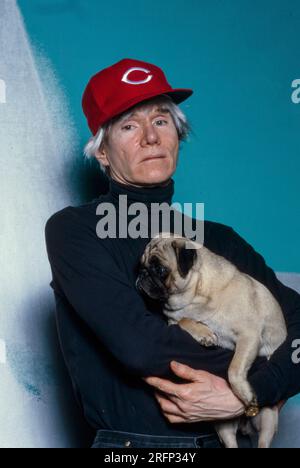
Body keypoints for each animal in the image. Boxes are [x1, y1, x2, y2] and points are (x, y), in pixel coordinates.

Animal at [135, 232, 286, 448]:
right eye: (141, 266)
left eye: (159, 269)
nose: (142, 274)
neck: (196, 297)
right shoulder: (173, 322)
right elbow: (185, 321)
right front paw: (204, 334)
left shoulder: (249, 336)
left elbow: (233, 369)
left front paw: (245, 394)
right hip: (224, 426)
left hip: (268, 420)